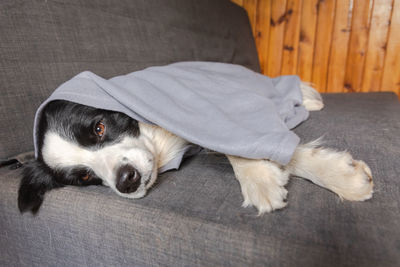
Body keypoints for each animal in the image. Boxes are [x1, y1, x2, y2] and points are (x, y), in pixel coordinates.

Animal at [18, 84, 376, 216]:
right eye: (84, 177)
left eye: (99, 128)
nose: (126, 180)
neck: (159, 140)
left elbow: (238, 140)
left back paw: (308, 95)